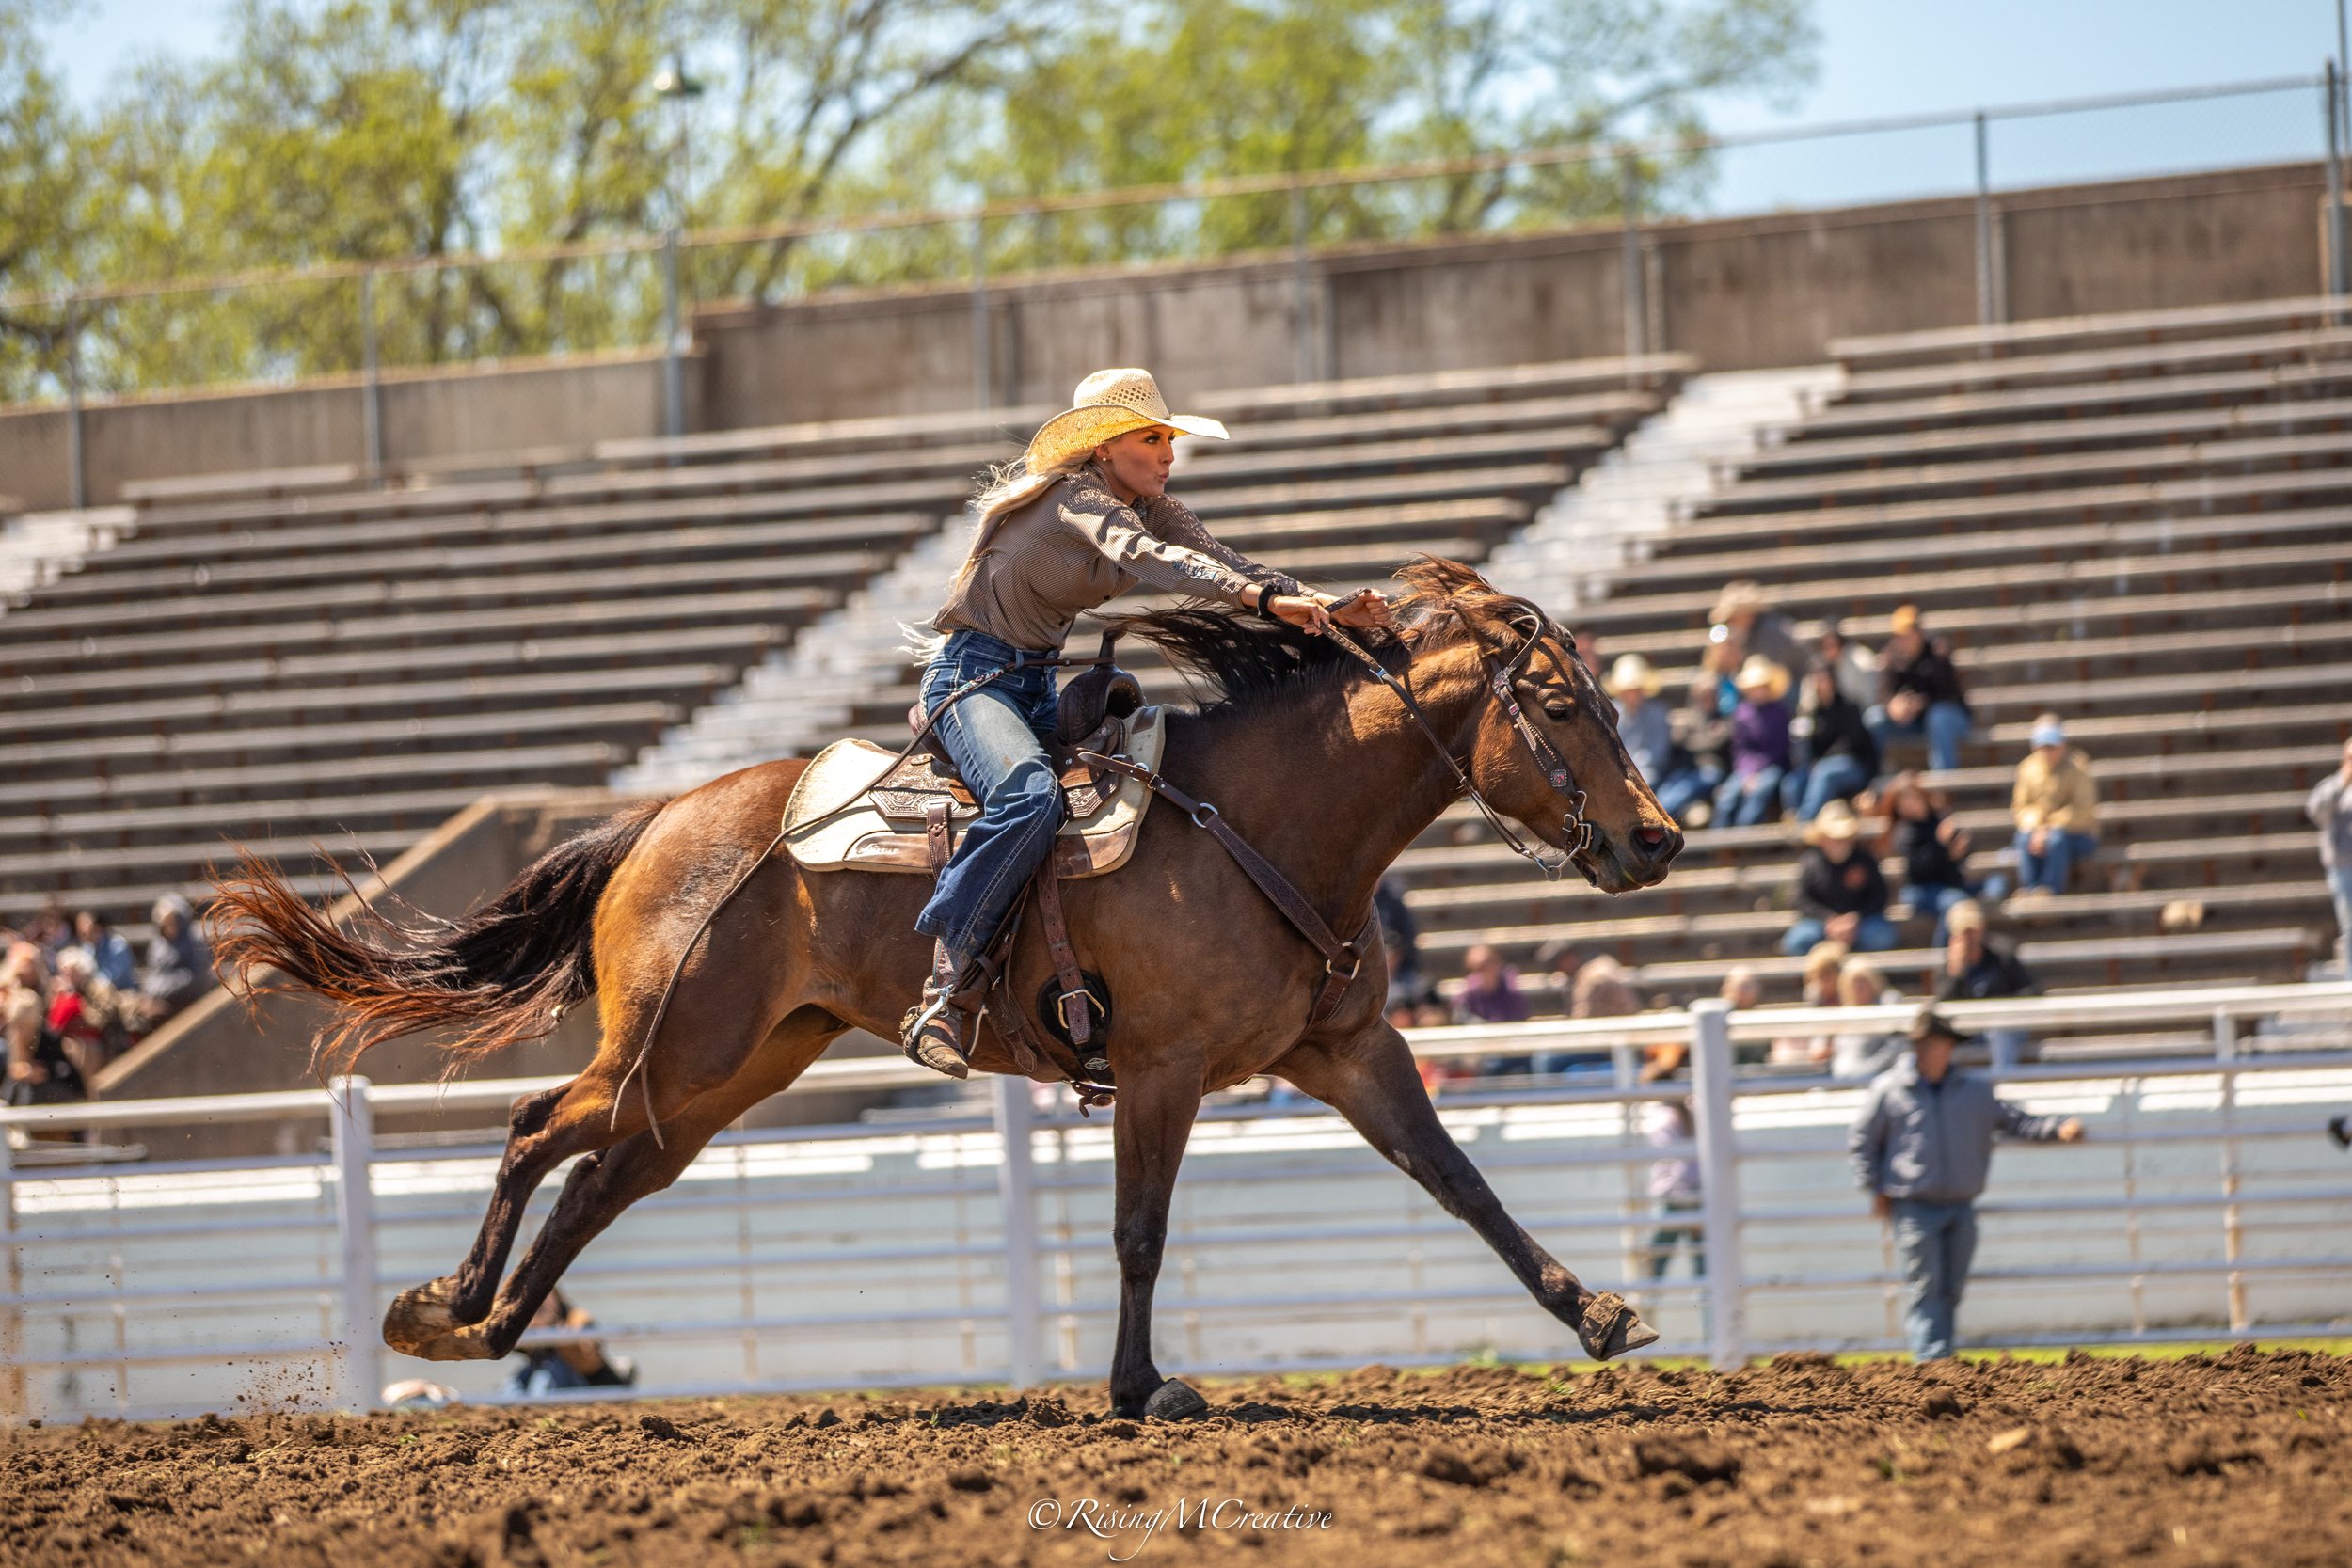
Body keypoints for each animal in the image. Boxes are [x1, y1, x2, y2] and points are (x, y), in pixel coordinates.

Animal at [212, 557, 1684, 1418]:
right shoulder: (1158, 1071)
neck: (1264, 819)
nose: (1657, 838)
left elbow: (1461, 1180)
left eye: (1617, 704)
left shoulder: (1351, 1048)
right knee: (534, 1130)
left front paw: (1600, 1312)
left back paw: (486, 1323)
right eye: (1560, 706)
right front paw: (1141, 1387)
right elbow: (1139, 1230)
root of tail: (655, 825)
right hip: (671, 1049)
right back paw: (445, 1307)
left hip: (725, 1072)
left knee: (598, 1181)